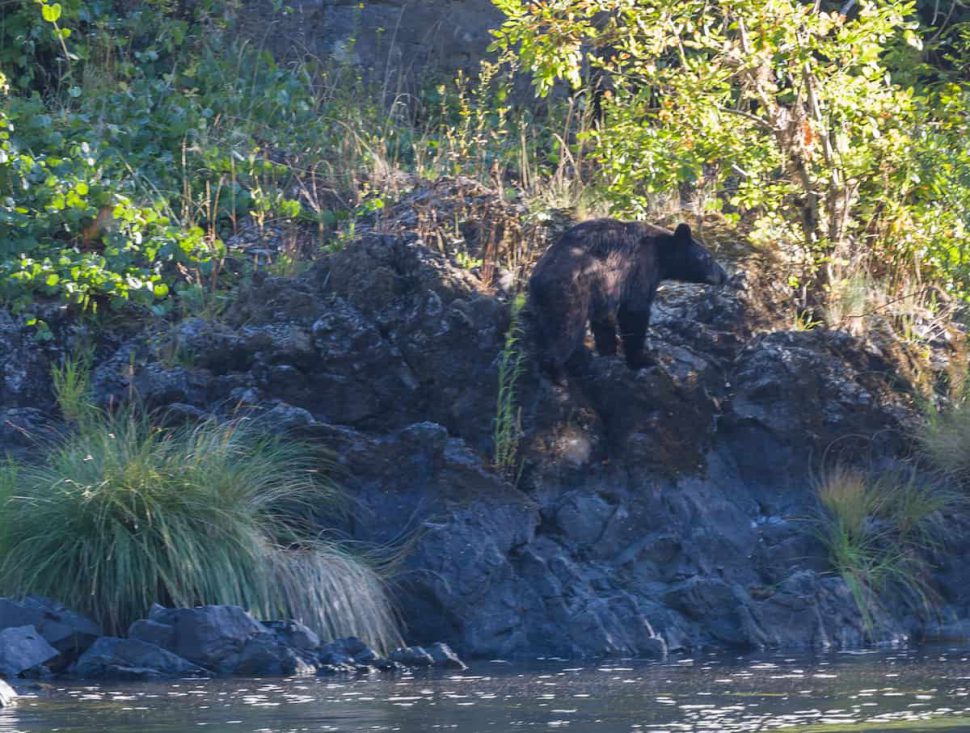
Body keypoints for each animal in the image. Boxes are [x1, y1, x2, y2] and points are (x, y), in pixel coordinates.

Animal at [528, 217, 728, 380]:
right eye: (709, 258)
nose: (724, 275)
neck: (661, 252)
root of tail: (537, 278)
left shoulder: (605, 289)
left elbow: (604, 319)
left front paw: (608, 351)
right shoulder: (640, 269)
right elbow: (634, 311)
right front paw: (642, 359)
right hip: (569, 294)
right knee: (564, 331)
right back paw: (557, 372)